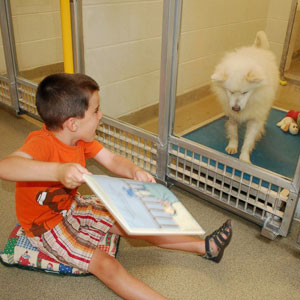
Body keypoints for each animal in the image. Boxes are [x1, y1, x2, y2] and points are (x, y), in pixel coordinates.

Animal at [211, 31, 278, 163]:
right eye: (230, 92)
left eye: (245, 92)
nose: (236, 108)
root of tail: (257, 48)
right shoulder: (232, 115)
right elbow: (233, 133)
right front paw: (232, 146)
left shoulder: (254, 119)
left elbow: (248, 141)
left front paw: (244, 158)